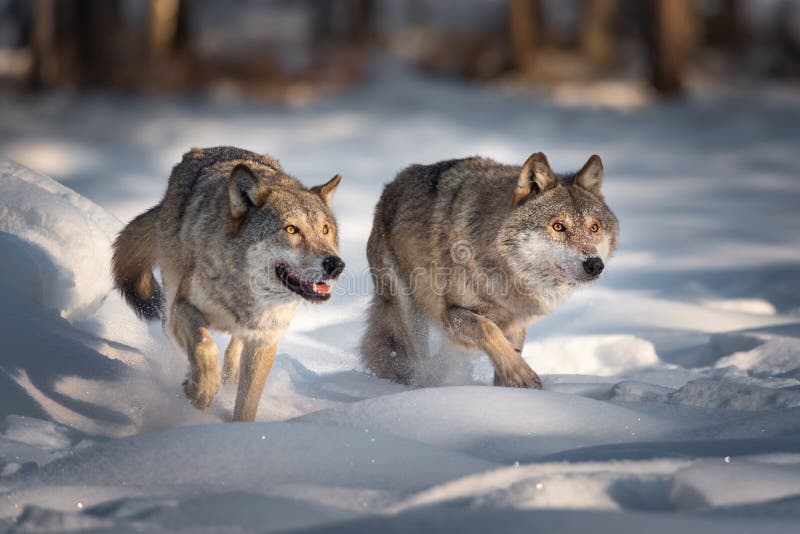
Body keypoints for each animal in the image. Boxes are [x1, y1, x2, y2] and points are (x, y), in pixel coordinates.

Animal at [111, 148, 344, 422]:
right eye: (291, 229)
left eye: (325, 229)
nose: (335, 264)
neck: (243, 293)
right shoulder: (183, 307)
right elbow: (204, 346)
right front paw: (201, 390)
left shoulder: (264, 340)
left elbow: (247, 404)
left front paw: (235, 426)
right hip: (168, 311)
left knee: (233, 352)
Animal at [362, 153, 620, 392]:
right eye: (558, 226)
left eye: (594, 227)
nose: (594, 265)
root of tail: (391, 186)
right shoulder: (451, 314)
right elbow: (487, 328)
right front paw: (522, 376)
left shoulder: (515, 324)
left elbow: (508, 350)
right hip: (409, 314)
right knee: (417, 363)